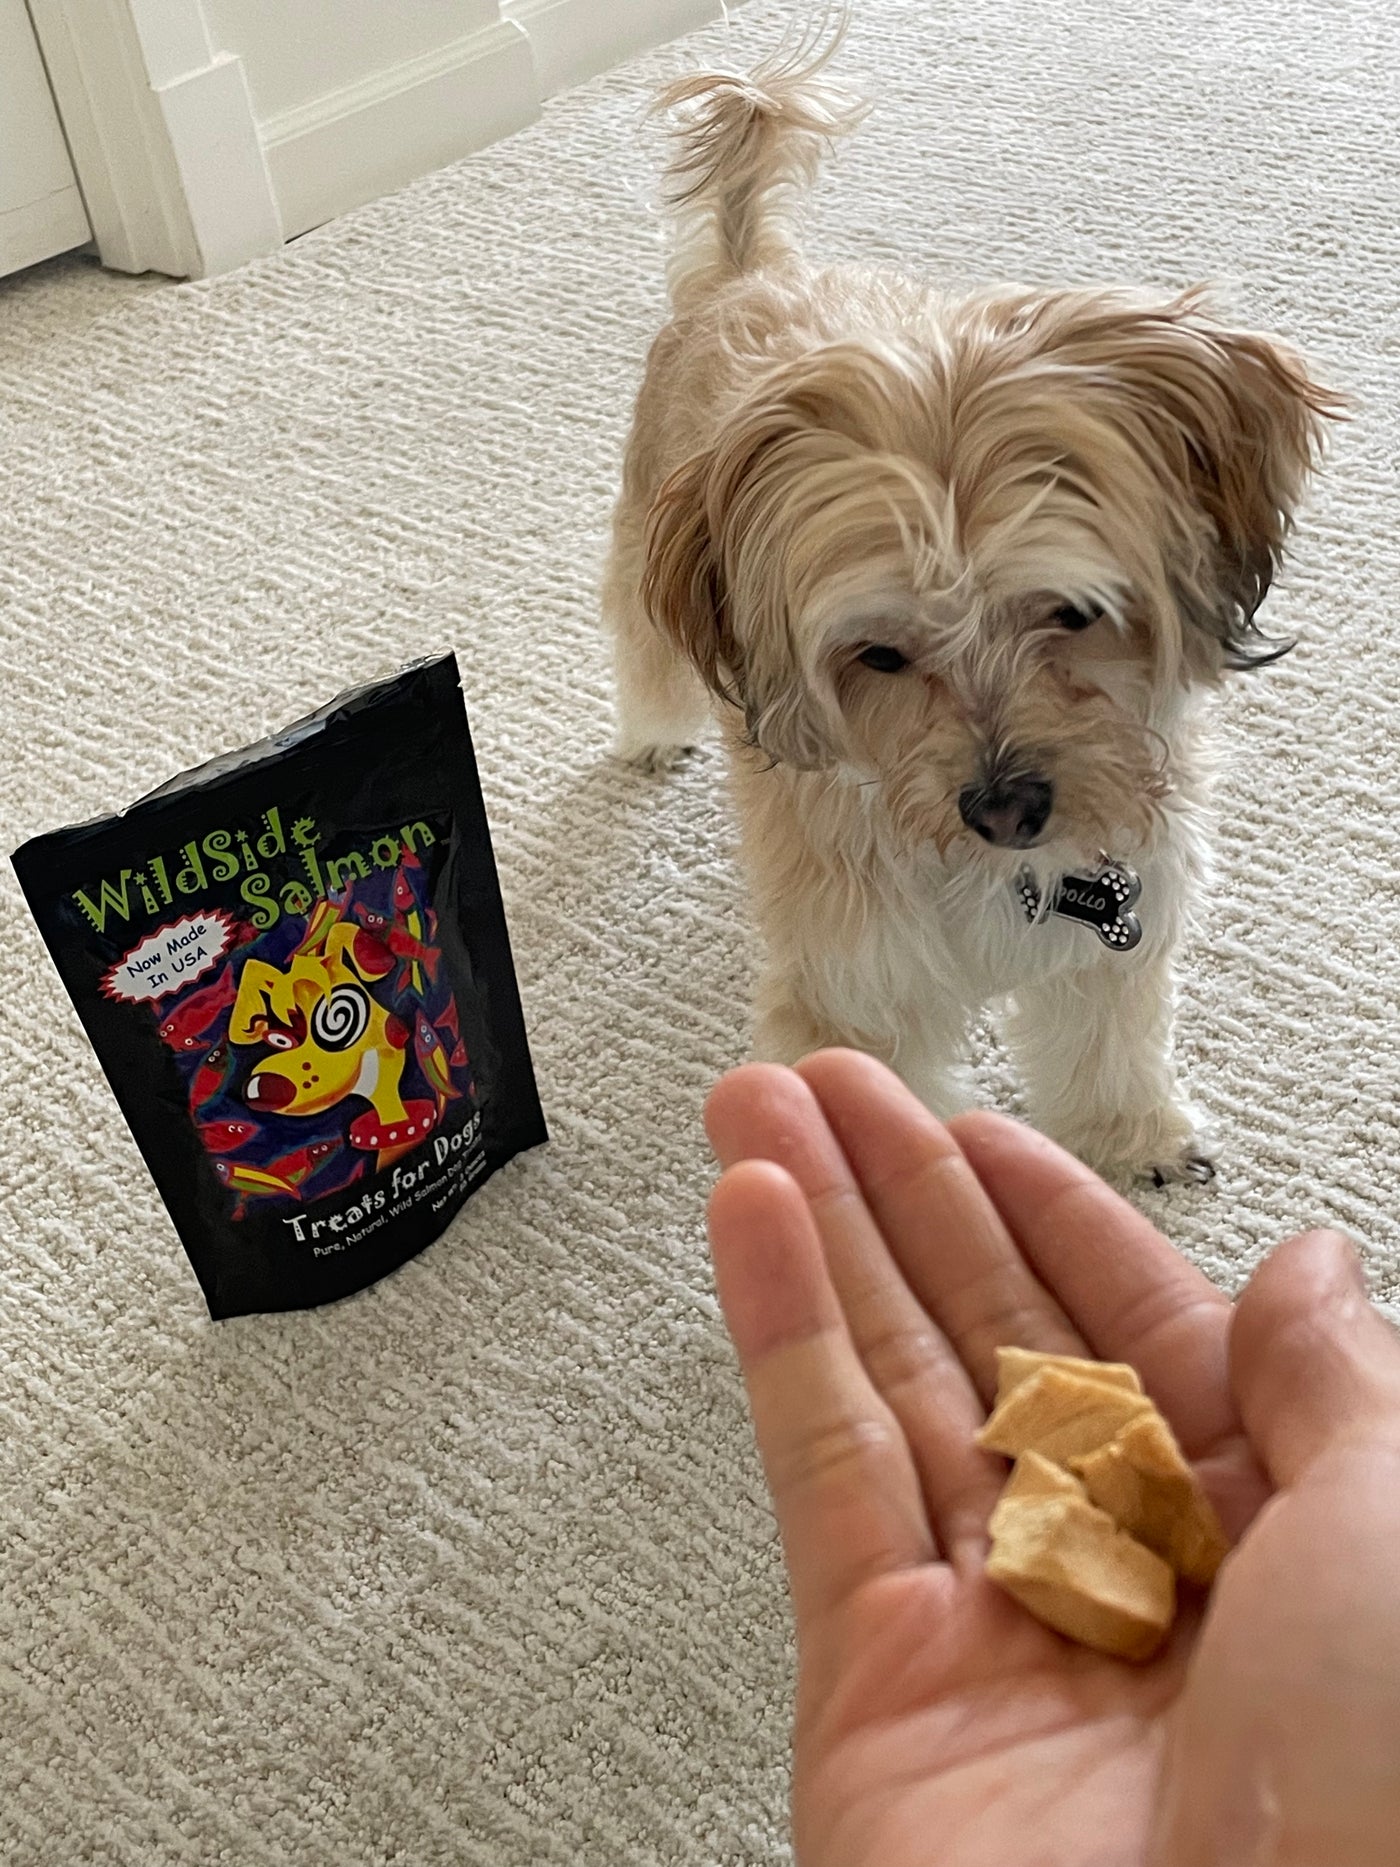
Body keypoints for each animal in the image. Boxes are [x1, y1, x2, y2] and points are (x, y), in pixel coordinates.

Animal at [604, 29, 1351, 1172]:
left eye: (1073, 613)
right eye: (876, 654)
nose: (1006, 809)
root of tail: (748, 276)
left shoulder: (1117, 926)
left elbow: (1108, 1038)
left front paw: (1128, 1133)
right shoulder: (854, 980)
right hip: (645, 539)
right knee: (641, 639)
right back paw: (651, 728)